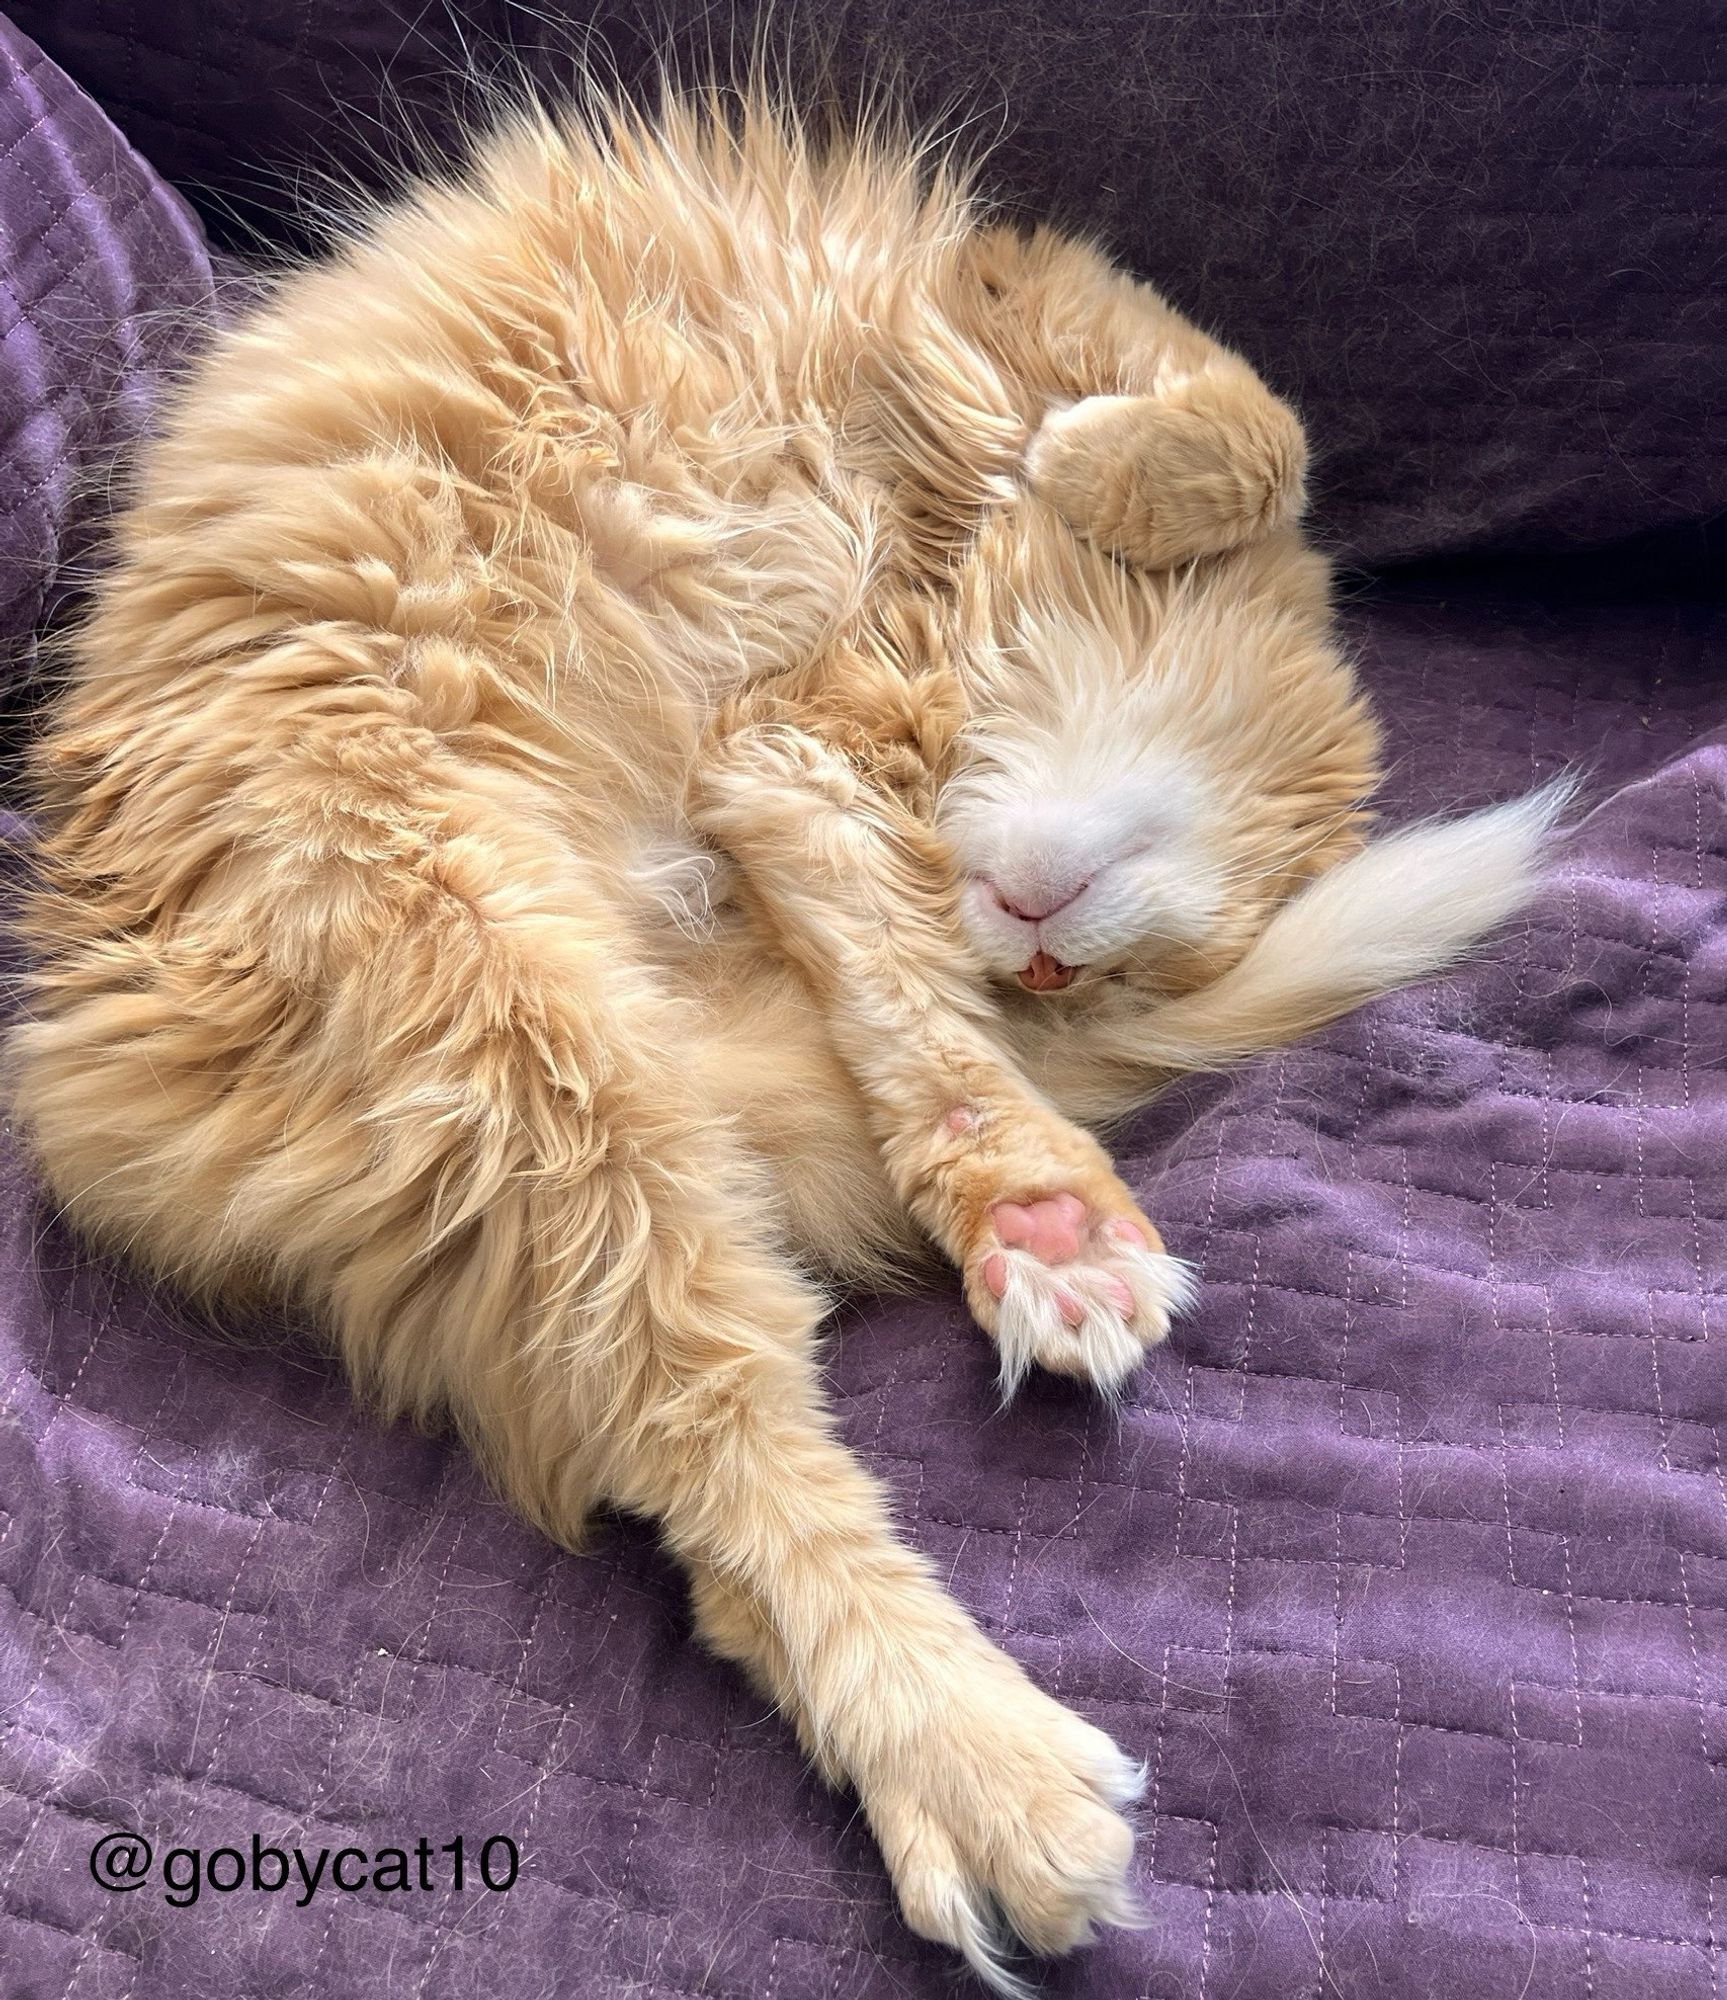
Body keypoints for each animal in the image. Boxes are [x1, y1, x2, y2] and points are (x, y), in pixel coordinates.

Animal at [3, 90, 1567, 1984]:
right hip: (519, 1033)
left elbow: (922, 1032)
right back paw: (994, 1773)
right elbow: (1257, 425)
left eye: (1104, 989)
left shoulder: (781, 775)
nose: (1049, 963)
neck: (925, 597)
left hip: (557, 1123)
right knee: (732, 1447)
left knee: (717, 1525)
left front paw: (1032, 1203)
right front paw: (1107, 469)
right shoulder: (1018, 320)